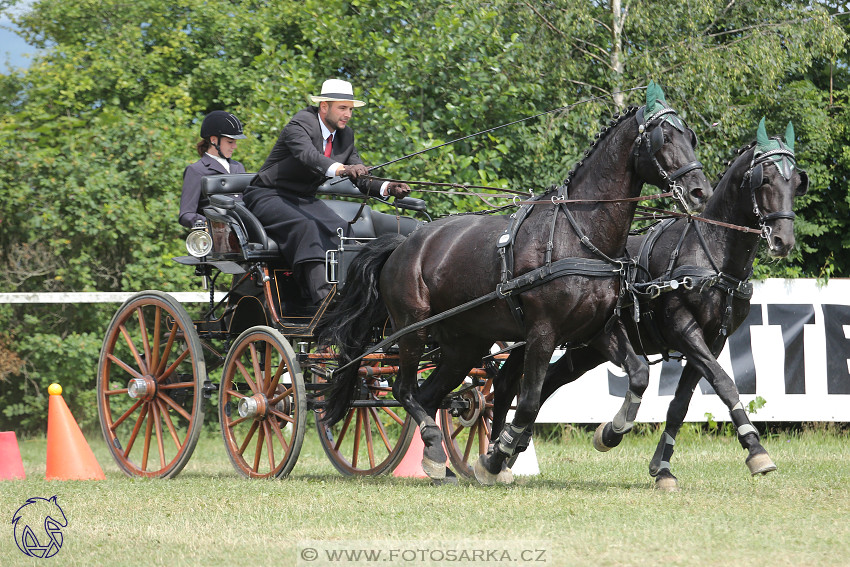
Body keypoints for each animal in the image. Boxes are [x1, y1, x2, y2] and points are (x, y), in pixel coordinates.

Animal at [318, 82, 708, 486]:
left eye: (691, 136)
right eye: (665, 137)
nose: (700, 191)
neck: (577, 234)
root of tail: (402, 244)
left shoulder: (599, 328)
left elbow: (640, 374)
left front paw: (610, 433)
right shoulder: (542, 332)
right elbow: (530, 399)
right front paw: (494, 458)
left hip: (463, 344)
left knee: (427, 396)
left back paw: (438, 461)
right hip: (412, 329)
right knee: (403, 388)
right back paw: (438, 451)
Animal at [486, 117, 804, 490]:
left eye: (796, 182)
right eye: (764, 179)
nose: (783, 240)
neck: (711, 252)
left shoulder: (714, 339)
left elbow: (680, 404)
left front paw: (661, 468)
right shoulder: (684, 329)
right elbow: (724, 382)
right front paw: (756, 448)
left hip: (585, 347)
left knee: (547, 381)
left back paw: (512, 446)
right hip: (536, 333)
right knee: (508, 384)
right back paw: (495, 452)